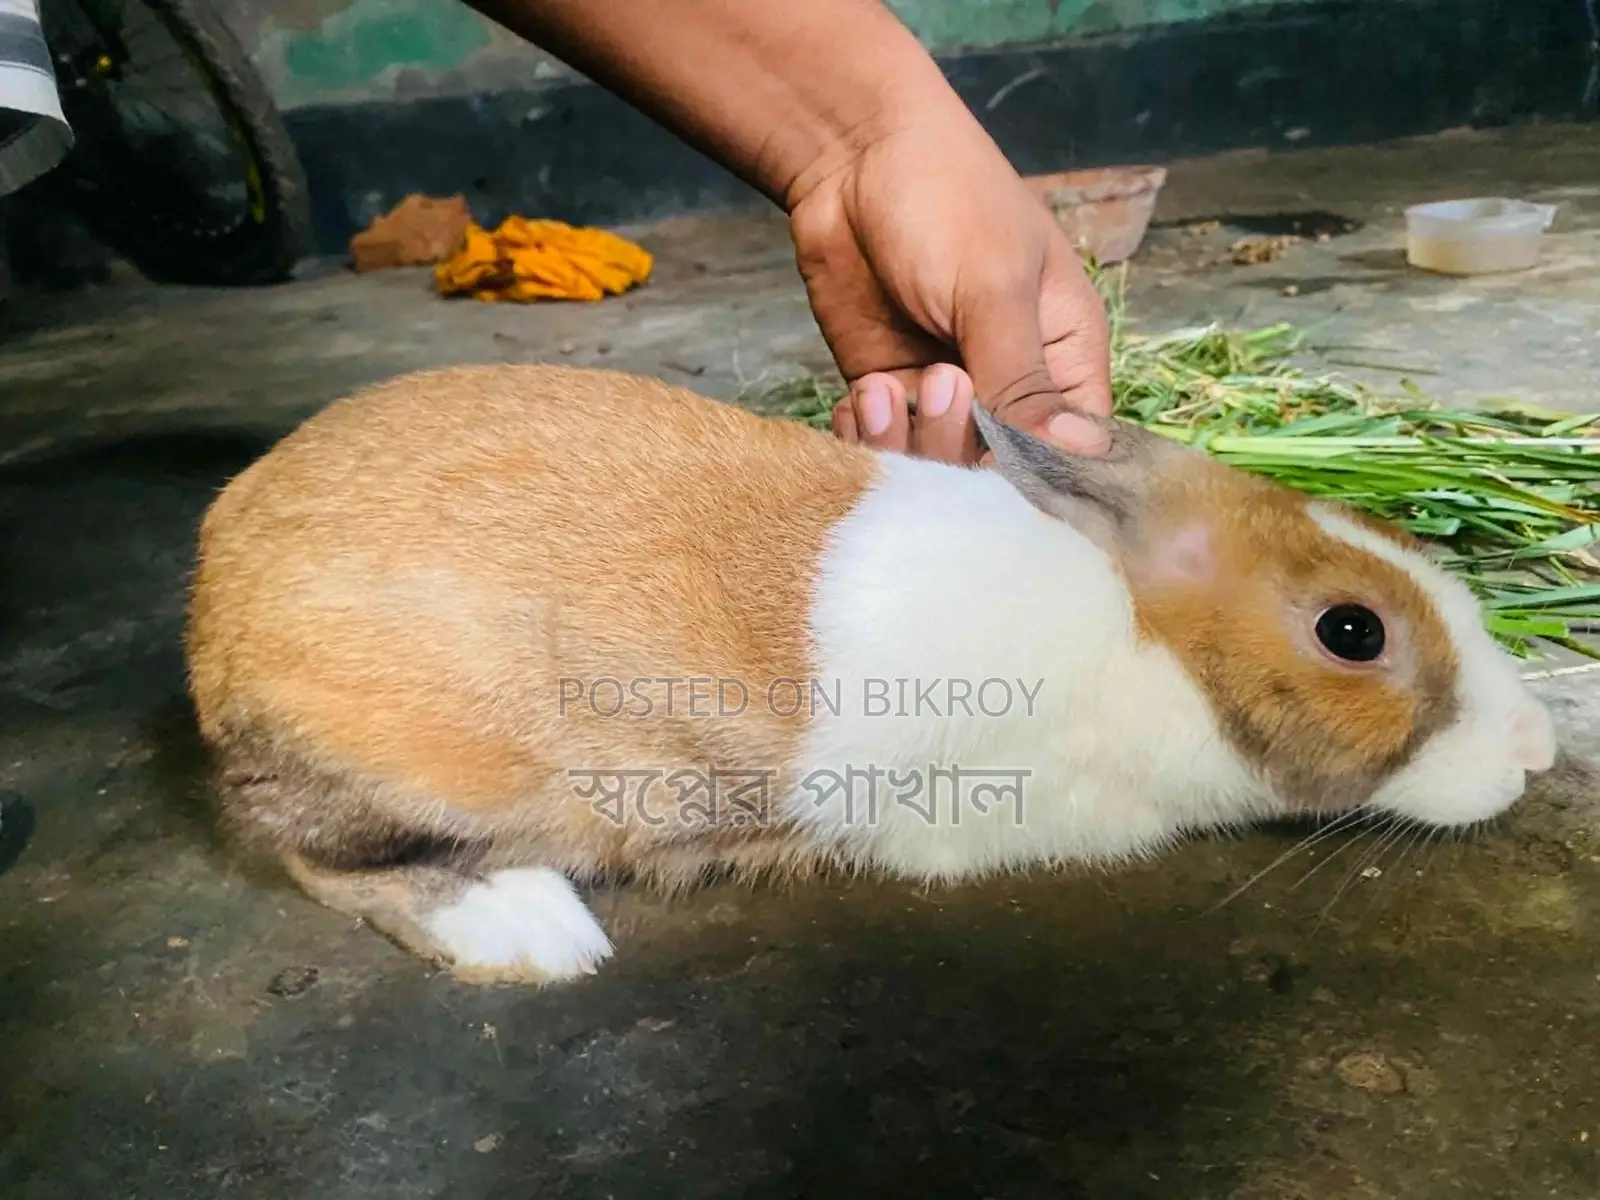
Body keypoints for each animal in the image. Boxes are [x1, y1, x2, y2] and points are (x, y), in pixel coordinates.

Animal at [184, 363, 1557, 985]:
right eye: (1351, 633)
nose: (1540, 751)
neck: (1143, 642)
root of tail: (211, 615)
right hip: (417, 775)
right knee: (321, 857)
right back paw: (533, 933)